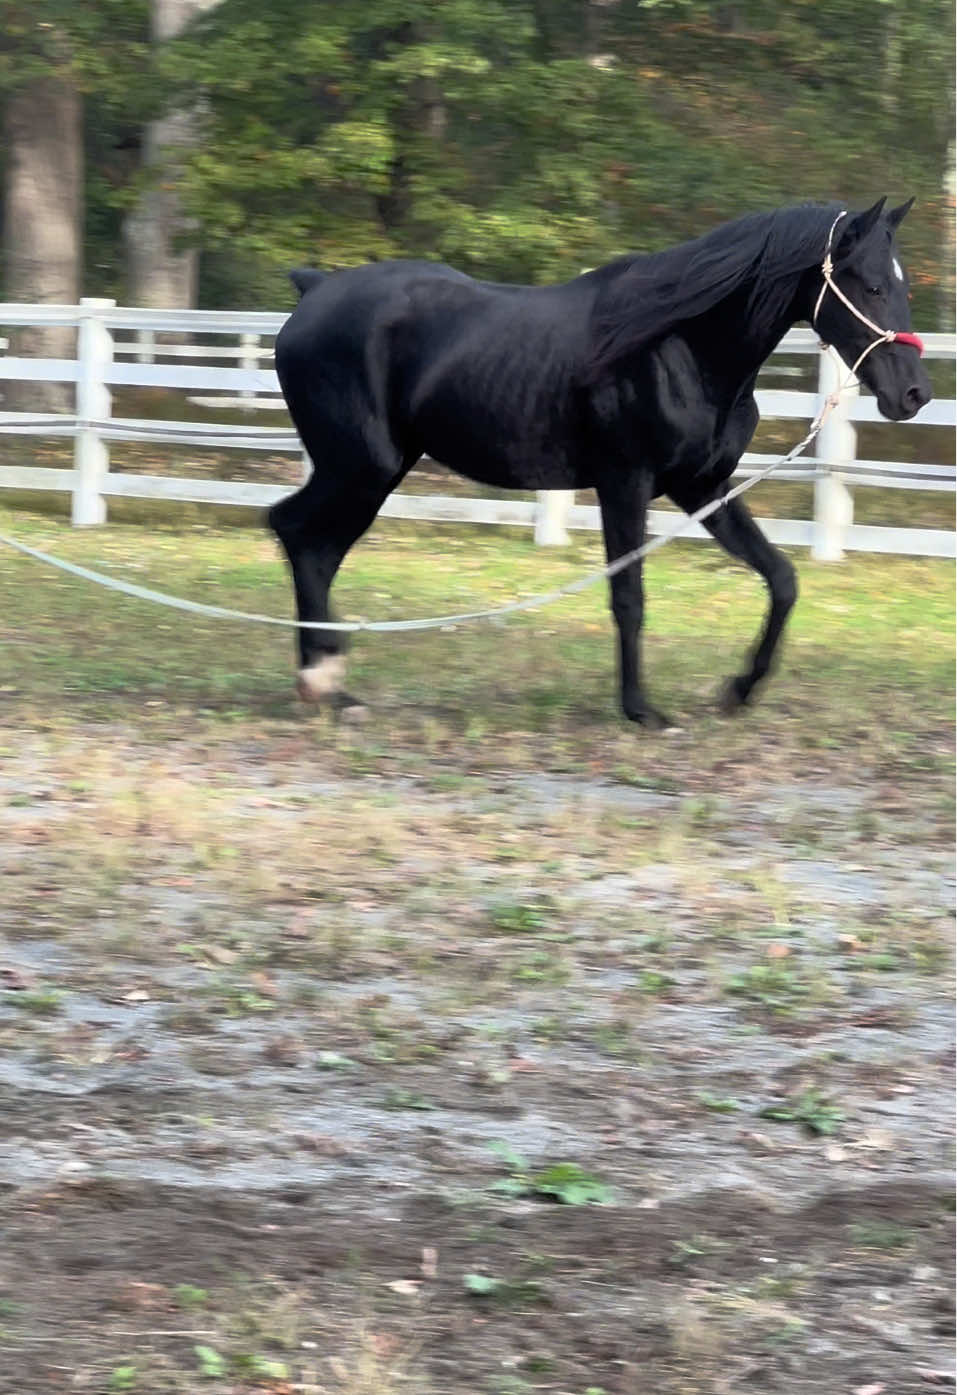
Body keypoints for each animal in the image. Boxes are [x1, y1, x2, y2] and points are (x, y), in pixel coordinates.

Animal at [269, 197, 931, 726]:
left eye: (901, 285)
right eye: (871, 284)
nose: (914, 395)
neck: (681, 347)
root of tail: (314, 289)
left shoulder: (703, 487)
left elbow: (782, 578)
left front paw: (737, 692)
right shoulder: (624, 484)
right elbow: (629, 597)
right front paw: (642, 710)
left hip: (373, 470)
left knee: (314, 546)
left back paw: (328, 684)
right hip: (362, 467)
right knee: (298, 533)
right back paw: (320, 680)